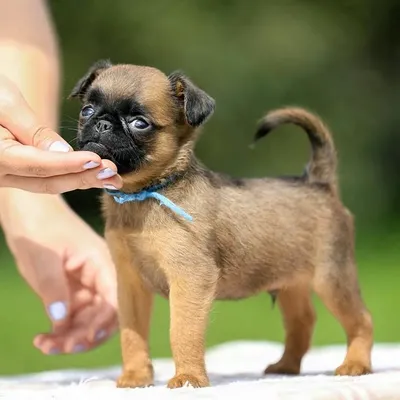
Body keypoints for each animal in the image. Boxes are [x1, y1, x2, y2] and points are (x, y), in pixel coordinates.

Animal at [70, 61, 374, 390]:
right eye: (87, 110)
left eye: (140, 123)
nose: (101, 124)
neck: (144, 193)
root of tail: (318, 181)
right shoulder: (131, 284)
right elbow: (132, 334)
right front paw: (137, 377)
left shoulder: (190, 279)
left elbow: (182, 331)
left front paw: (188, 378)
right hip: (291, 283)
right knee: (303, 321)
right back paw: (286, 367)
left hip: (332, 277)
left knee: (361, 320)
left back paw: (355, 364)